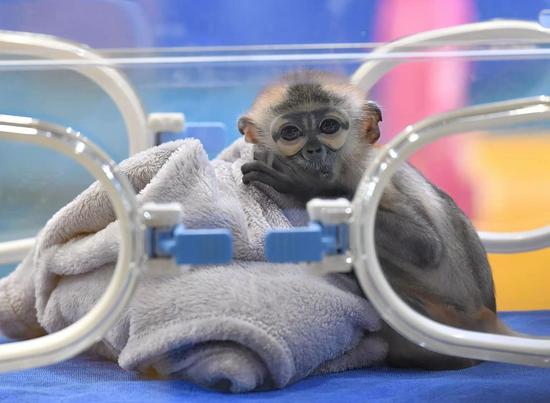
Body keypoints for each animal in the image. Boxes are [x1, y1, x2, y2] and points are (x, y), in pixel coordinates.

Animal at [242, 71, 512, 370]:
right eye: (291, 133)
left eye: (328, 126)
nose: (313, 150)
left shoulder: (365, 172)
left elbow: (426, 246)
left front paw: (304, 184)